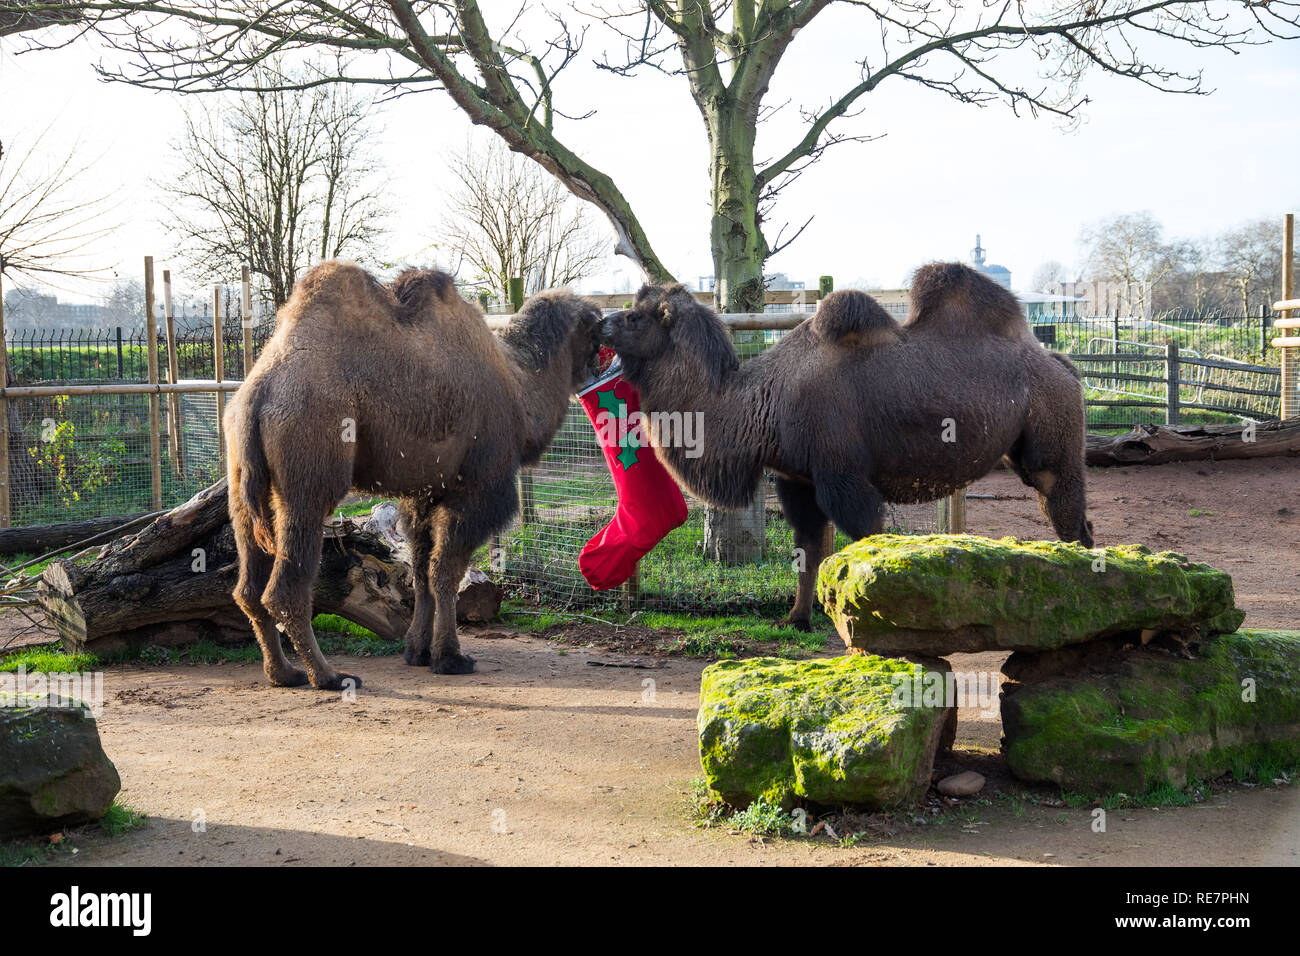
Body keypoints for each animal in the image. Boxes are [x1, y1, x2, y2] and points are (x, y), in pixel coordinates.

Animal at [226, 261, 600, 686]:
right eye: (595, 329)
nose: (604, 357)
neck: (521, 390)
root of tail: (257, 395)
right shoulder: (477, 489)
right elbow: (445, 574)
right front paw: (450, 657)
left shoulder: (422, 493)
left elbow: (420, 572)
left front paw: (417, 651)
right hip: (307, 474)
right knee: (285, 587)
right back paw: (328, 676)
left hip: (243, 485)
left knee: (247, 589)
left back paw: (284, 673)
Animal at [603, 260, 1092, 629]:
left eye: (635, 316)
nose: (602, 321)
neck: (764, 404)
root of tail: (1063, 365)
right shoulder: (796, 479)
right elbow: (807, 550)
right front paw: (796, 619)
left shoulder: (843, 477)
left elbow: (867, 545)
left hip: (1053, 438)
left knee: (1068, 514)